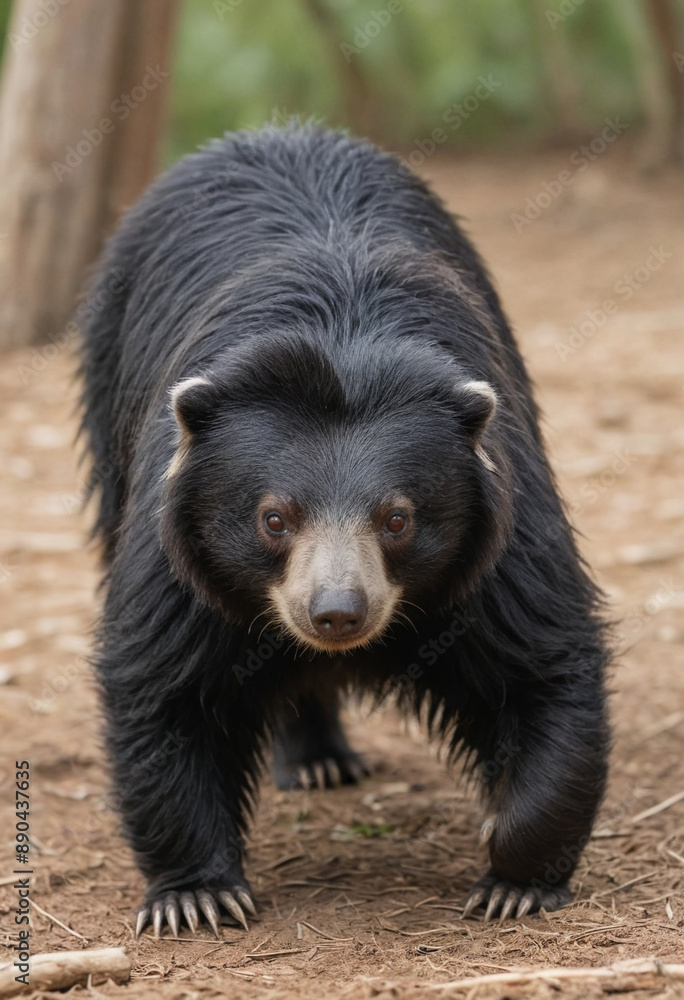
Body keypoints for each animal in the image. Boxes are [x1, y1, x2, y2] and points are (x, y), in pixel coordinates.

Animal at [79, 123, 610, 938]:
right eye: (273, 518)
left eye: (397, 518)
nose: (335, 613)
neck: (344, 341)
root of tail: (269, 130)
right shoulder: (174, 538)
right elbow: (162, 681)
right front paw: (197, 898)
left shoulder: (507, 528)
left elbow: (544, 665)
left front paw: (511, 874)